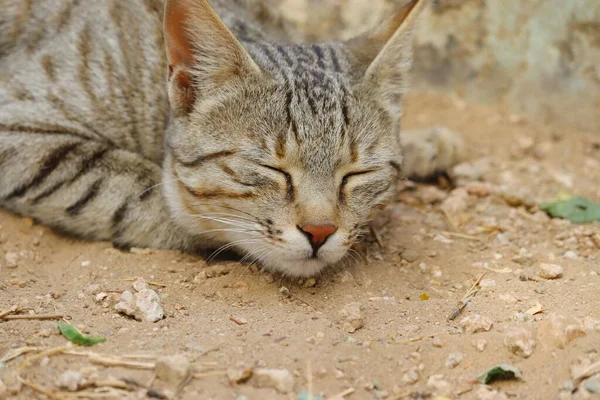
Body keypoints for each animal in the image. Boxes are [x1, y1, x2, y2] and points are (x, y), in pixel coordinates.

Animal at [0, 0, 464, 276]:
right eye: (270, 169)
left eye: (357, 174)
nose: (319, 232)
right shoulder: (19, 127)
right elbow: (144, 191)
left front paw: (426, 143)